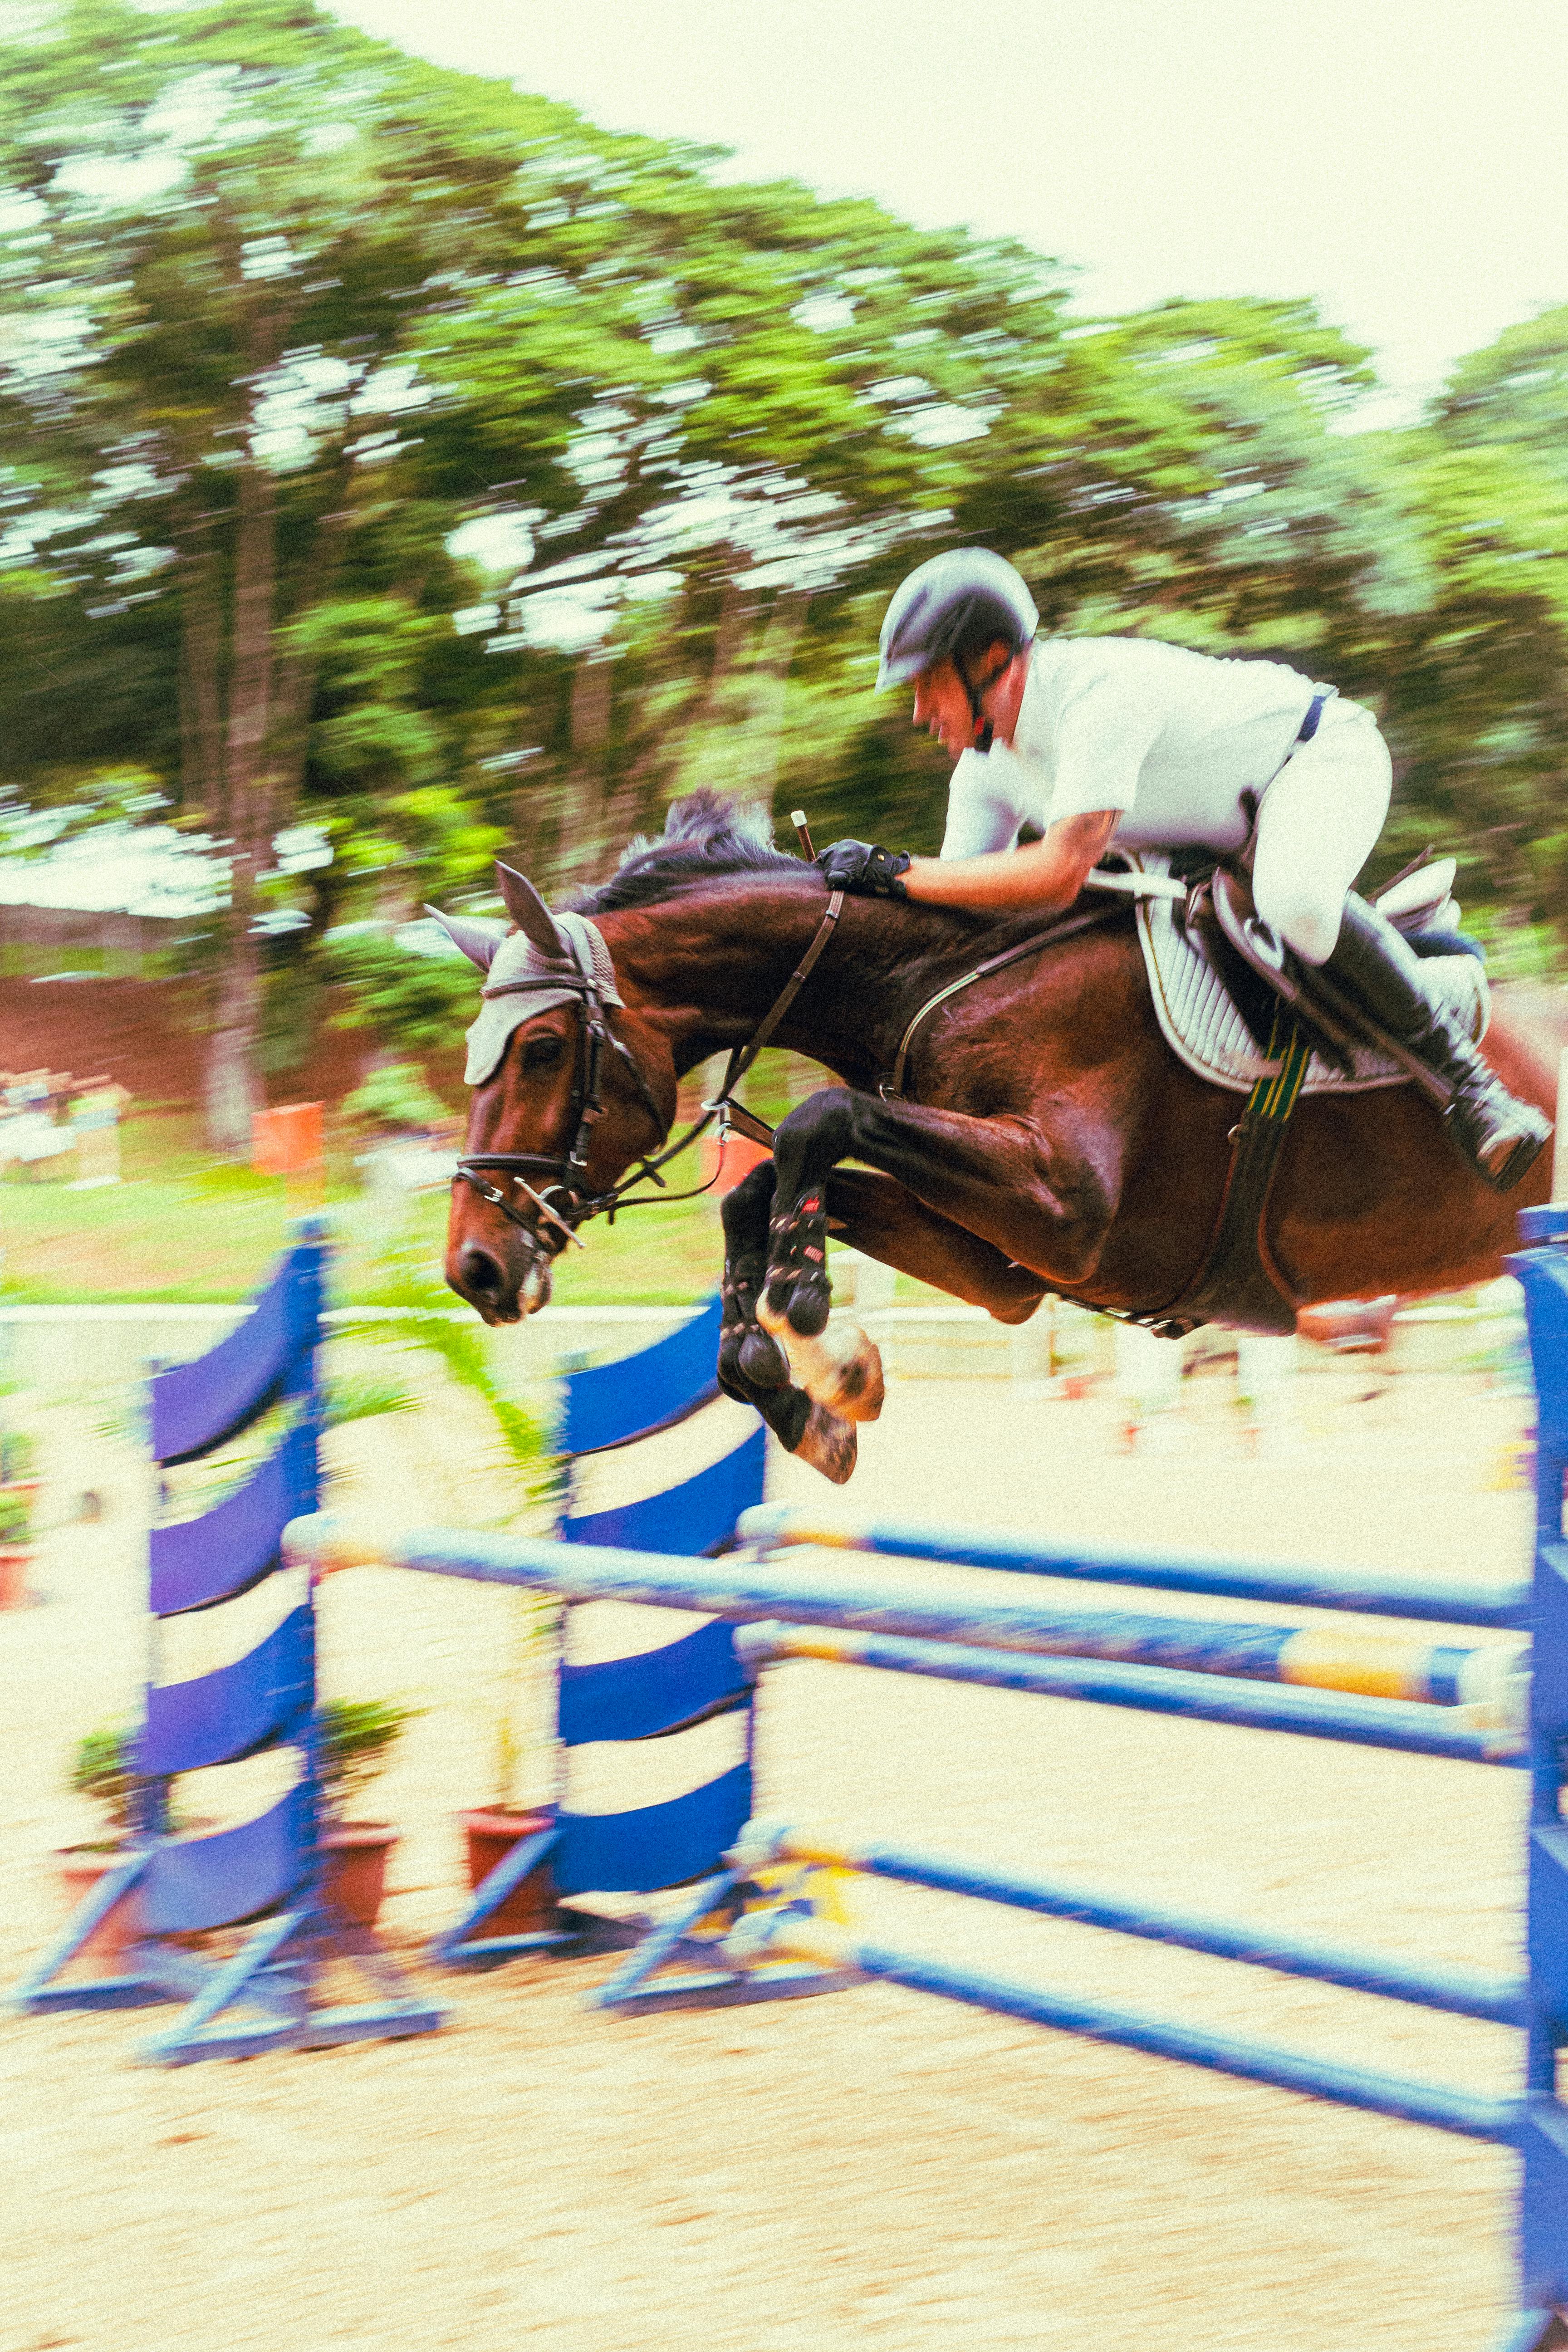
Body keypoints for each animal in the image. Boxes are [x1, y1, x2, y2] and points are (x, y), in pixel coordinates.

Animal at [439, 799, 1561, 1477]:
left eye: (542, 1048)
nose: (473, 1269)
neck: (929, 982)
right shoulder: (1012, 1266)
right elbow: (762, 1193)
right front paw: (816, 1394)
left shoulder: (1070, 1211)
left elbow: (817, 1121)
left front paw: (813, 1327)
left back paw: (1497, 1125)